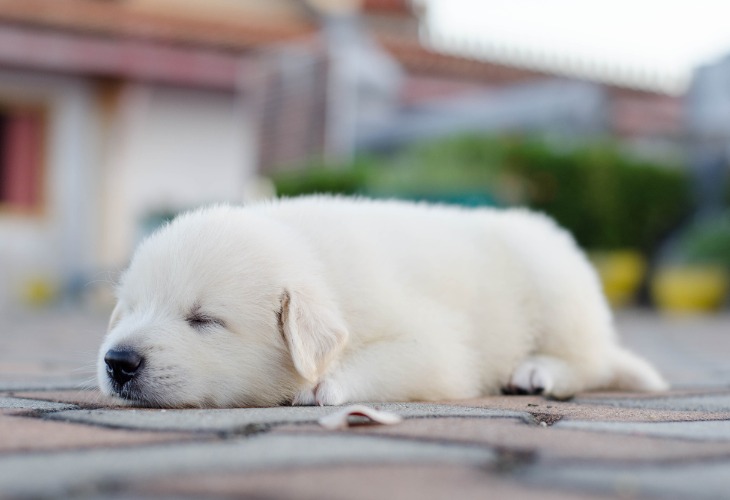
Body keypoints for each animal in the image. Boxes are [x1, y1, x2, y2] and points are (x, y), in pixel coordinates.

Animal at [96, 194, 664, 406]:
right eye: (132, 310)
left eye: (204, 320)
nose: (118, 361)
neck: (317, 263)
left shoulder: (435, 348)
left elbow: (388, 360)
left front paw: (322, 383)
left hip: (556, 286)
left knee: (589, 361)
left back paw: (538, 370)